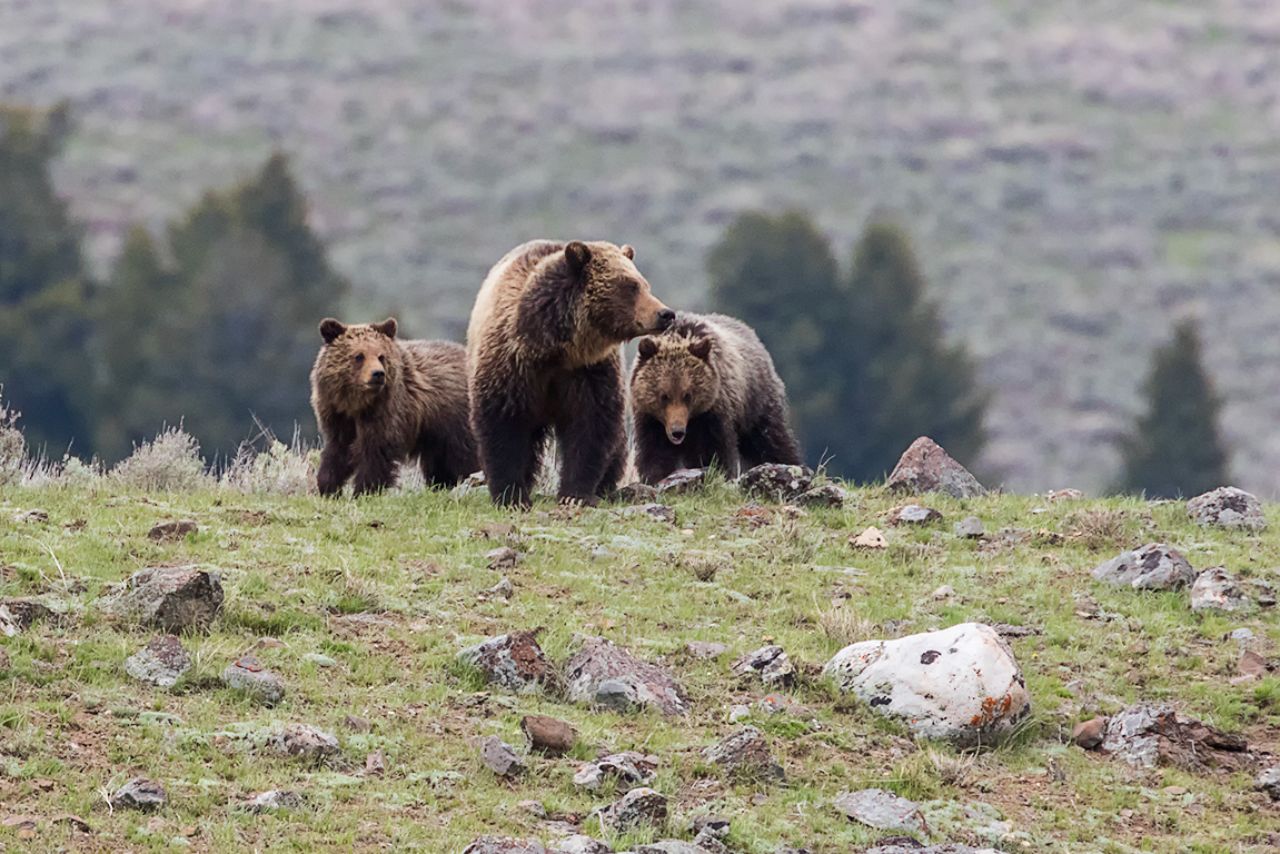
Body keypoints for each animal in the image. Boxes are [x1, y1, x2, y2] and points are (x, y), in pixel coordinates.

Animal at [310, 317, 478, 496]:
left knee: (465, 456)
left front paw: (364, 491)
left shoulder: (387, 411)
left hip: (455, 421)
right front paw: (328, 487)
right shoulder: (336, 415)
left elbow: (376, 453)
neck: (356, 404)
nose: (378, 374)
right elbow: (337, 451)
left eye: (381, 356)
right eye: (359, 356)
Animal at [466, 239, 674, 507]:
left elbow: (590, 426)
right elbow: (503, 427)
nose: (665, 314)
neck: (553, 348)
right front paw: (512, 495)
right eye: (631, 286)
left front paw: (575, 494)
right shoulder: (511, 366)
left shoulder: (589, 371)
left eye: (644, 284)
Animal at [629, 312, 802, 484]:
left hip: (756, 402)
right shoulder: (650, 419)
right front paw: (656, 477)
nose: (677, 432)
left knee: (771, 439)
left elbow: (715, 452)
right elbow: (654, 454)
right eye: (664, 396)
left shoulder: (713, 412)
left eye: (688, 395)